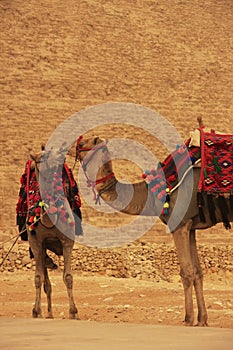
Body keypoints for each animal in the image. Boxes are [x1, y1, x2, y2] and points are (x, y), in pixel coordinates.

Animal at [26, 149, 79, 318]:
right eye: (44, 156)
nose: (62, 156)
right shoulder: (35, 242)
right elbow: (38, 278)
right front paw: (36, 311)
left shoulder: (67, 241)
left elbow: (68, 277)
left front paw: (73, 312)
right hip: (41, 249)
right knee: (46, 281)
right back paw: (47, 313)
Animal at [75, 133, 232, 326]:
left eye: (82, 143)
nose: (70, 148)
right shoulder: (190, 226)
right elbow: (197, 272)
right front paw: (202, 320)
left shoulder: (179, 225)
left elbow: (186, 273)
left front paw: (188, 319)